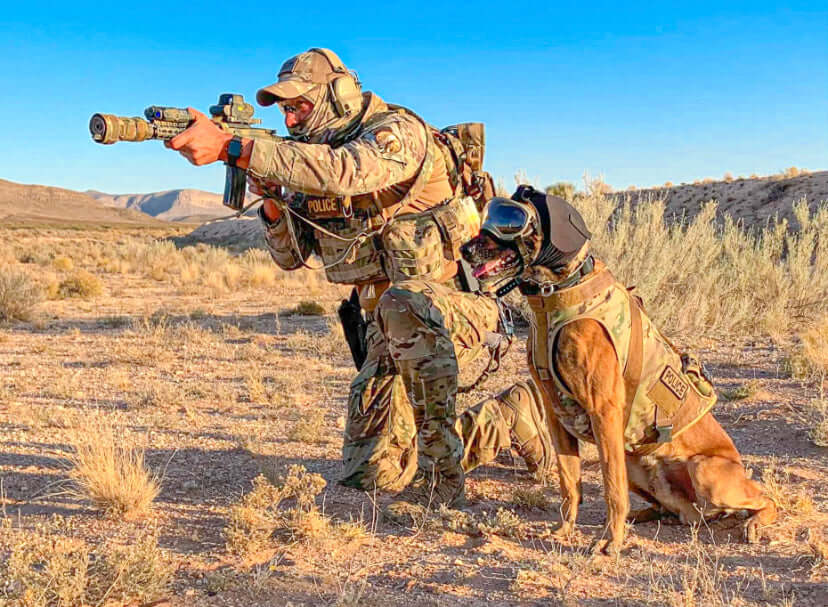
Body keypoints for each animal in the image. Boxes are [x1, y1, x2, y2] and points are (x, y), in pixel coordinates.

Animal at [462, 188, 780, 560]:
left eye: (510, 221)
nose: (464, 250)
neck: (555, 296)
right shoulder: (557, 419)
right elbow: (569, 482)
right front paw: (565, 530)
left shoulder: (604, 413)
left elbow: (612, 490)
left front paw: (609, 541)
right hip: (637, 464)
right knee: (673, 511)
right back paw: (643, 516)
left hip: (705, 472)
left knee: (765, 500)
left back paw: (753, 523)